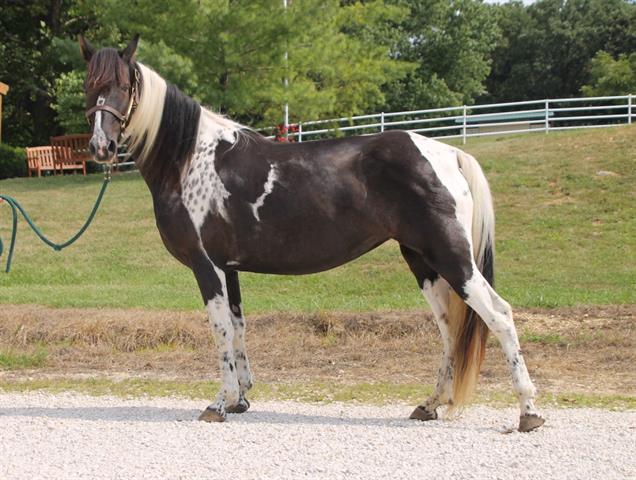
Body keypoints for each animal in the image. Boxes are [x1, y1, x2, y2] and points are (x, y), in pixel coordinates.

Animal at [79, 37, 544, 432]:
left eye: (123, 84)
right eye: (89, 85)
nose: (101, 147)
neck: (191, 158)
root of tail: (447, 152)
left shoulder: (206, 265)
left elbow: (220, 329)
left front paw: (218, 403)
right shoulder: (230, 268)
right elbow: (238, 326)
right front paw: (240, 399)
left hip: (452, 258)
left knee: (499, 315)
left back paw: (528, 412)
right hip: (423, 261)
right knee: (449, 329)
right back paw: (429, 405)